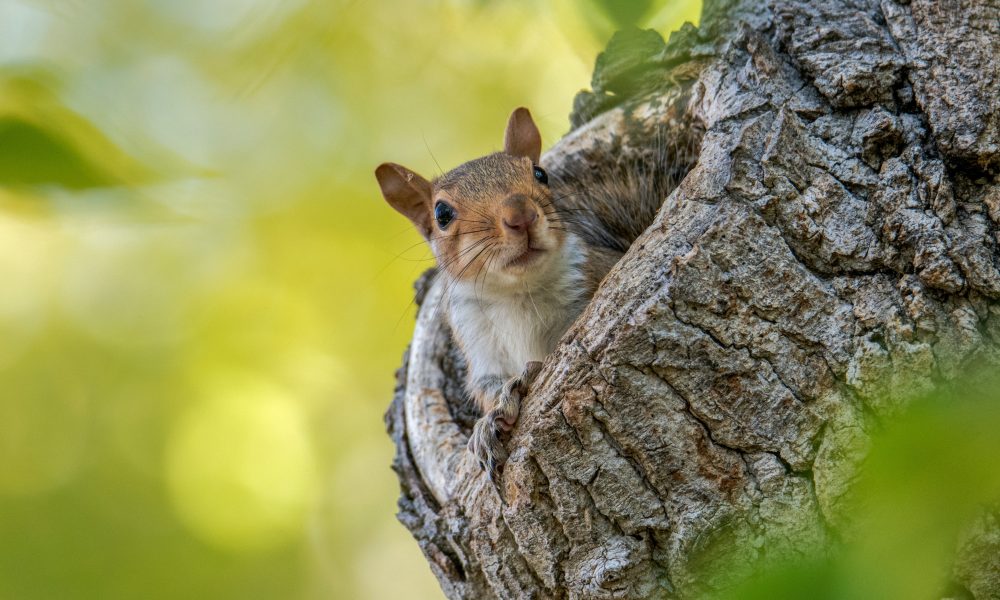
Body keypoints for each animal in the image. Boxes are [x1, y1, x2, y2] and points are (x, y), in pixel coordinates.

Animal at [376, 107, 680, 483]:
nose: (520, 214)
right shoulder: (477, 341)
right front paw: (488, 424)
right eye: (441, 214)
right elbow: (486, 387)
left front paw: (527, 377)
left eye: (540, 173)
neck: (519, 293)